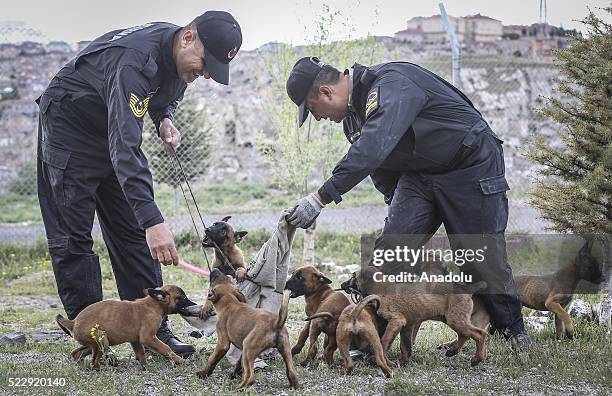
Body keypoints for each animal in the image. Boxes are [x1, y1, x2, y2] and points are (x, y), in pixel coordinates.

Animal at [55, 284, 195, 370]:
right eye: (182, 297)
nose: (194, 304)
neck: (154, 304)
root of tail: (73, 322)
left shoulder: (136, 341)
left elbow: (141, 354)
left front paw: (145, 368)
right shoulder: (148, 338)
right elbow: (166, 348)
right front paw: (179, 360)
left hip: (93, 344)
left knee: (76, 353)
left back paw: (82, 365)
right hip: (102, 341)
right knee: (94, 361)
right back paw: (99, 369)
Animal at [344, 268, 488, 366]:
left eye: (353, 277)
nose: (341, 285)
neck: (381, 286)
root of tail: (466, 289)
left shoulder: (396, 320)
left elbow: (384, 340)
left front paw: (376, 357)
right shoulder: (407, 326)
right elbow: (405, 346)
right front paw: (403, 362)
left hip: (455, 319)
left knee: (479, 334)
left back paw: (476, 359)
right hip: (451, 318)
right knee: (464, 334)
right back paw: (452, 351)